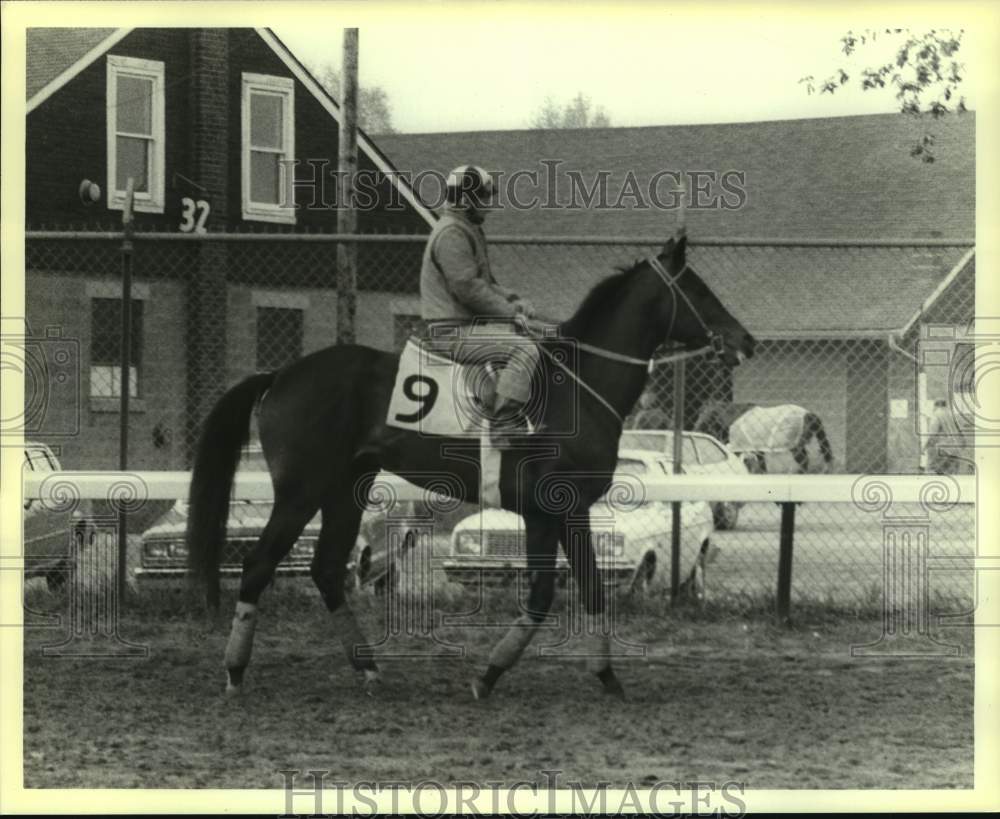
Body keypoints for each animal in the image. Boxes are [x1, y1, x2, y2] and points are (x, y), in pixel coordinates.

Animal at [186, 229, 752, 700]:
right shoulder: (558, 510)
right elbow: (552, 593)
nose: (744, 340)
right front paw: (497, 674)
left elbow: (577, 590)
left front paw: (598, 675)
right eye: (699, 290)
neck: (577, 386)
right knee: (259, 565)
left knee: (326, 570)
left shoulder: (558, 513)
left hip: (347, 488)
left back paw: (368, 669)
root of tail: (281, 373)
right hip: (302, 490)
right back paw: (235, 671)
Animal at [692, 398, 832, 470]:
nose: (696, 428)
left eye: (707, 418)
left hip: (794, 445)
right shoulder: (757, 449)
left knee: (804, 460)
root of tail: (810, 414)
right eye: (699, 413)